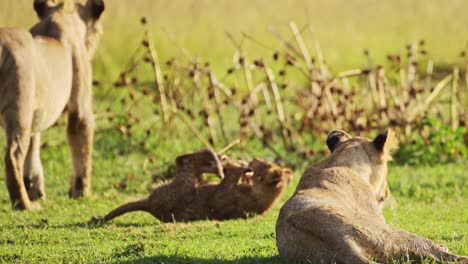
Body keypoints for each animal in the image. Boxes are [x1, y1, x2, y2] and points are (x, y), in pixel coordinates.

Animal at [0, 0, 105, 210]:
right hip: (18, 106)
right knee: (12, 155)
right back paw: (25, 204)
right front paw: (83, 193)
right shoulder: (80, 105)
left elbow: (34, 146)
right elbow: (82, 144)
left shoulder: (36, 111)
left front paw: (34, 188)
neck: (60, 16)